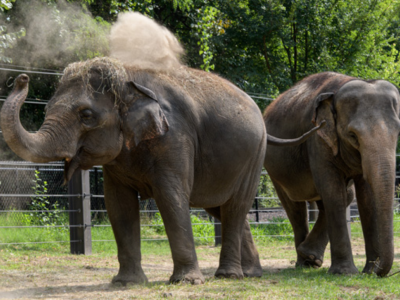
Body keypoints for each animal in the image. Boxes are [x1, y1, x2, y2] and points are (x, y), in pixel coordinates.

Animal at [1, 57, 324, 284]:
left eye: (87, 115)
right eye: (47, 110)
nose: (21, 78)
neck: (128, 80)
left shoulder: (175, 137)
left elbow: (171, 198)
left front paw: (187, 282)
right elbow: (118, 205)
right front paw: (126, 283)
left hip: (255, 155)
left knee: (235, 206)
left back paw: (229, 276)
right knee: (223, 208)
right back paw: (251, 273)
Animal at [262, 71, 400, 278]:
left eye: (397, 133)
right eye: (353, 136)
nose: (377, 269)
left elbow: (366, 196)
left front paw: (368, 271)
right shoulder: (318, 136)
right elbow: (332, 190)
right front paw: (345, 273)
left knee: (340, 197)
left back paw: (311, 258)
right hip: (274, 166)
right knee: (295, 206)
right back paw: (304, 262)